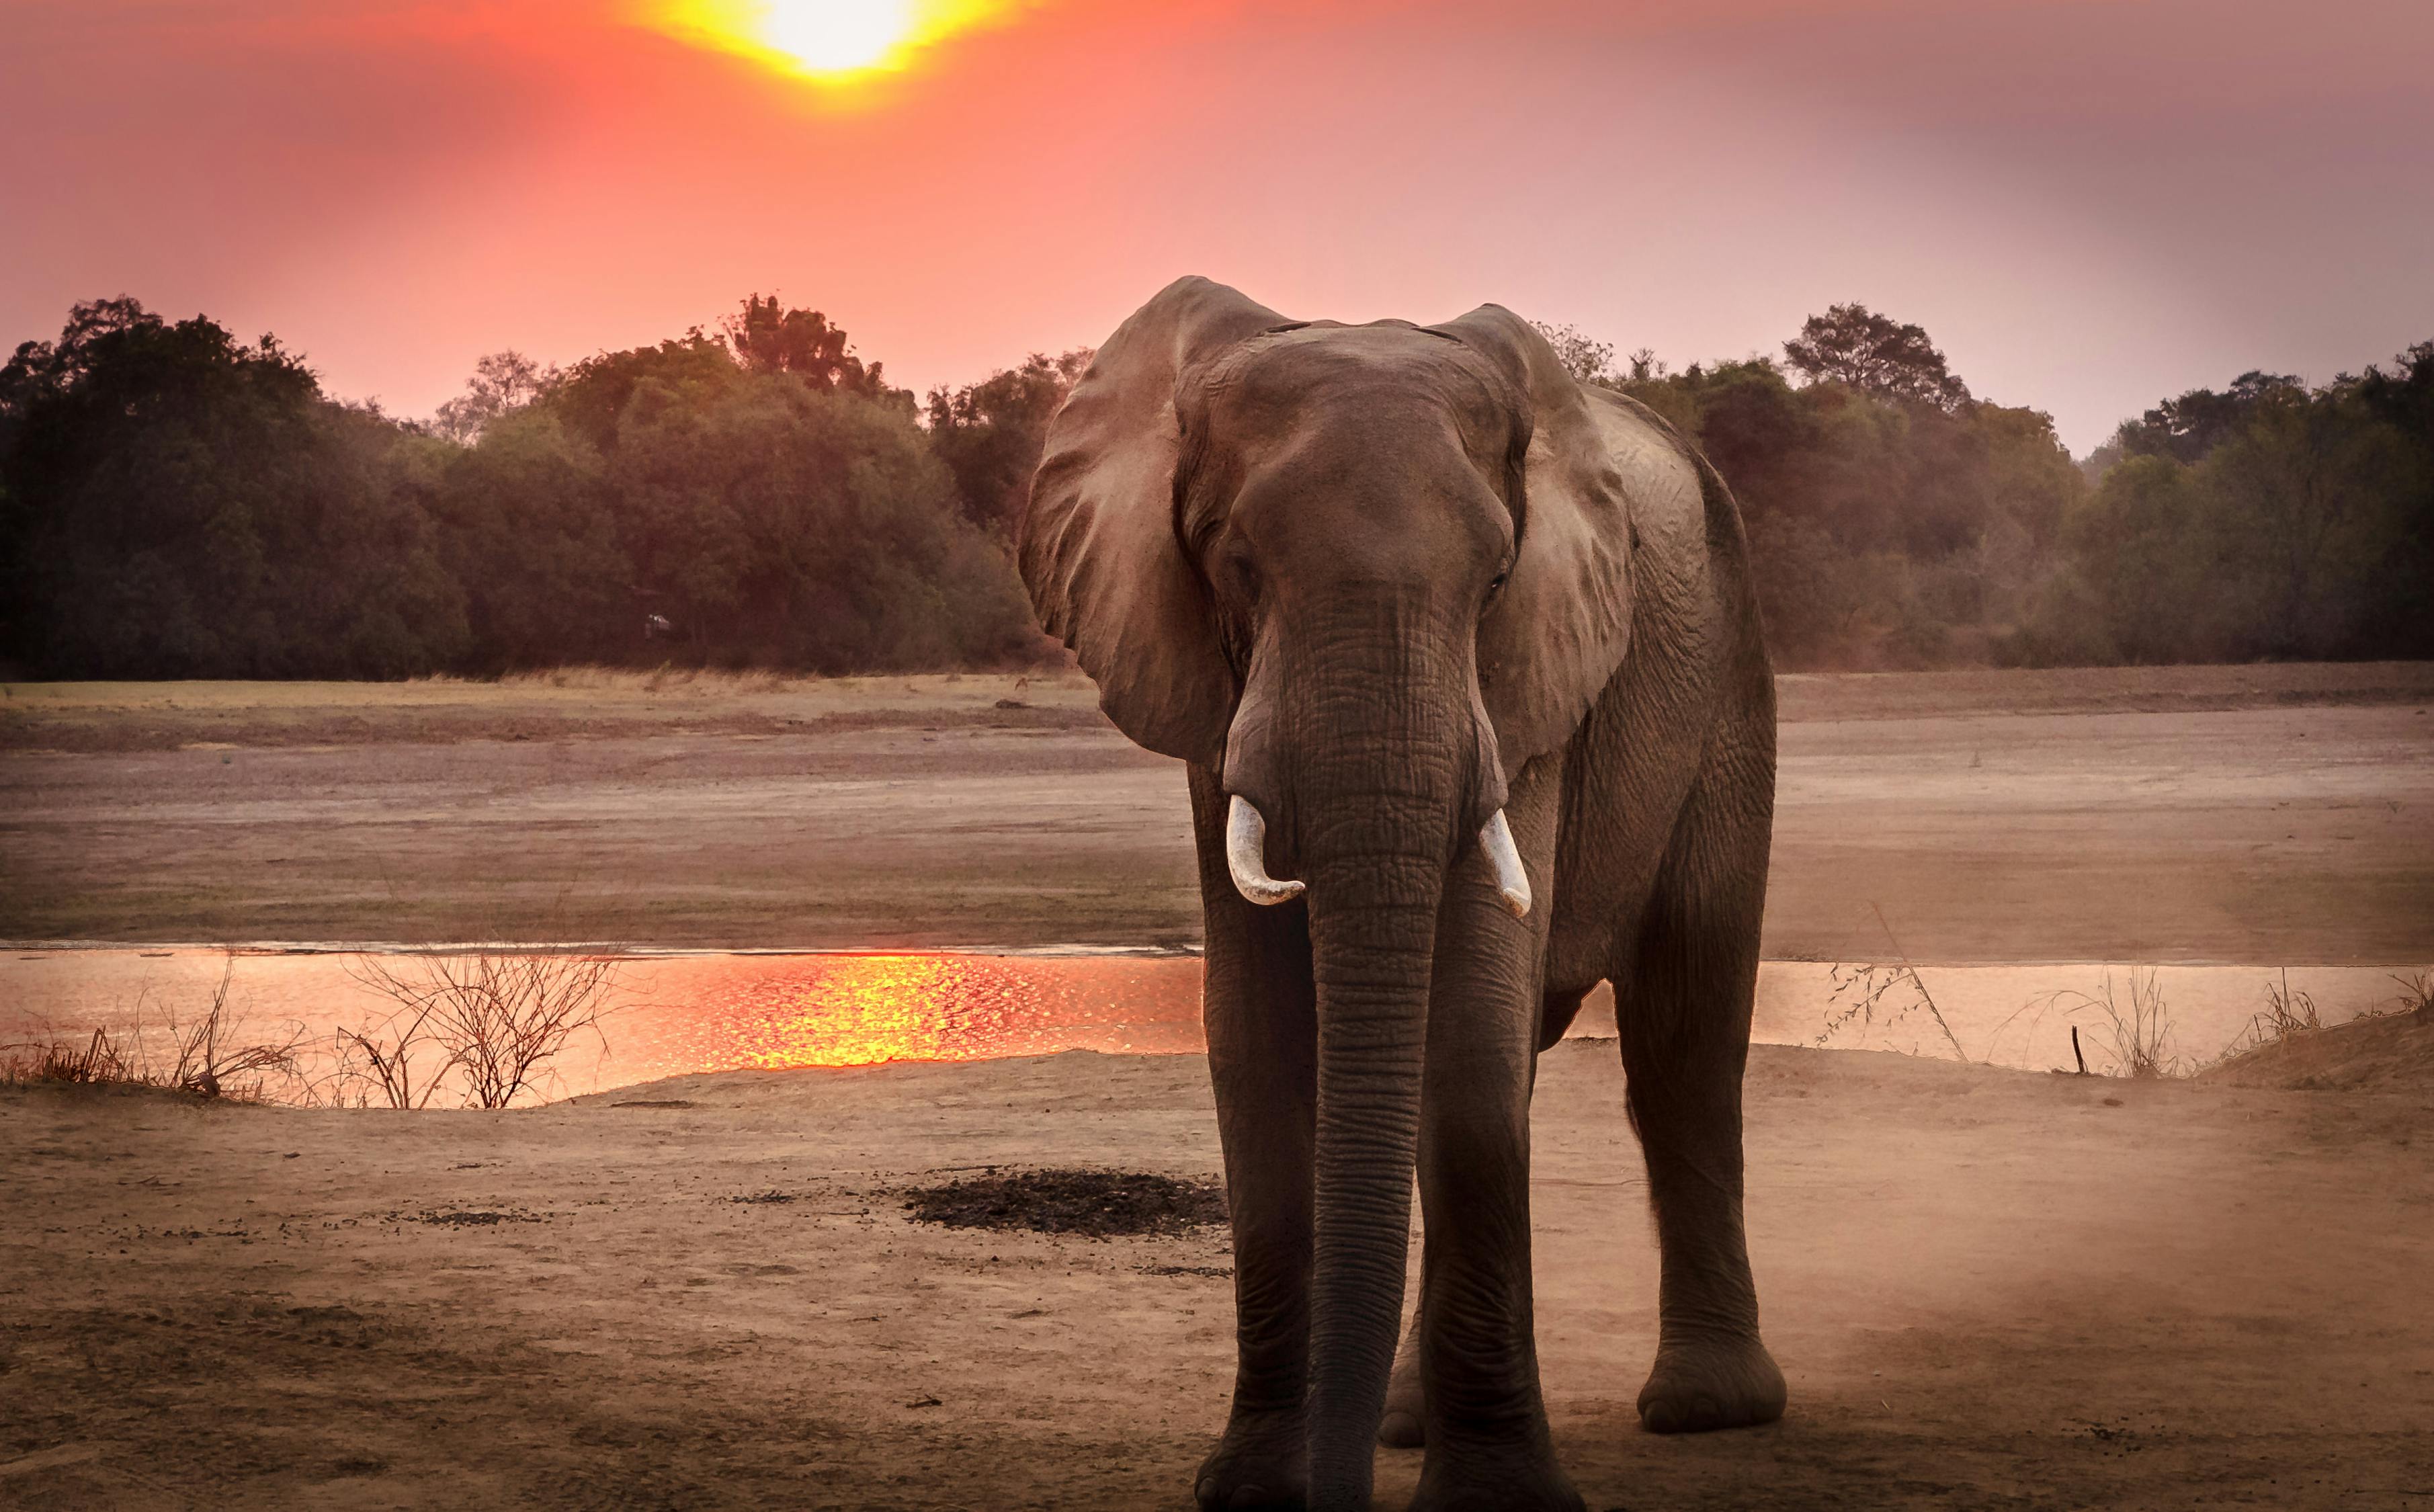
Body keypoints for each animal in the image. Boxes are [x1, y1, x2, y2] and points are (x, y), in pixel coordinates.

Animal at [1017, 278, 1781, 1499]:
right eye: (1233, 567)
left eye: (1498, 580)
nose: (1332, 1492)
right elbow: (1258, 1036)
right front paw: (1255, 1489)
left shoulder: (1528, 683)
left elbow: (1467, 1030)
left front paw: (1497, 1502)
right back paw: (1407, 1422)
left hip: (1729, 683)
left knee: (1684, 1042)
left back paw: (1706, 1409)